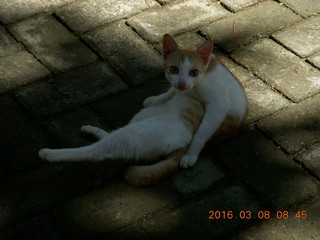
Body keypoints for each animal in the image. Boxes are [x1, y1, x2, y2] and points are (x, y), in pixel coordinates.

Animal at [38, 34, 249, 186]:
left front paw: (191, 155)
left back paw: (51, 154)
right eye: (173, 69)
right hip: (142, 119)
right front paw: (157, 97)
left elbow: (201, 134)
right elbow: (169, 90)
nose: (182, 83)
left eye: (193, 72)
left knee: (100, 150)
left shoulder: (219, 105)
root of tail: (177, 149)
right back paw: (93, 131)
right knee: (113, 135)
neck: (196, 87)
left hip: (143, 132)